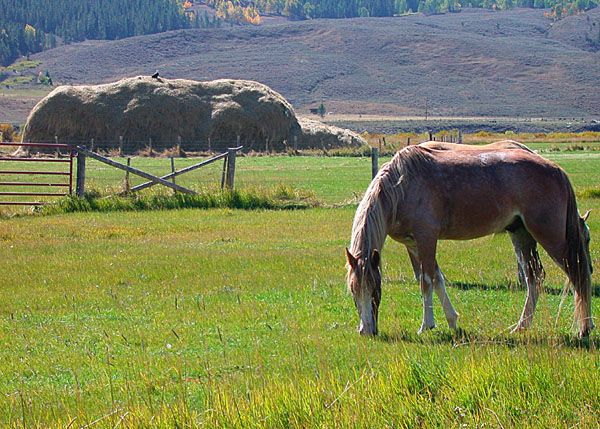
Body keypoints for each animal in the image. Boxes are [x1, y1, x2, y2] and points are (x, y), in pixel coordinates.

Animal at [344, 144, 592, 338]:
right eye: (353, 291)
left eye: (376, 291)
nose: (366, 330)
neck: (402, 187)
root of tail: (556, 170)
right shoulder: (413, 245)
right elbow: (437, 279)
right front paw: (452, 321)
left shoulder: (426, 239)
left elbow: (426, 281)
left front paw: (426, 326)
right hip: (522, 235)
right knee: (535, 277)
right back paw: (521, 326)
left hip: (550, 237)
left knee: (578, 275)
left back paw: (584, 329)